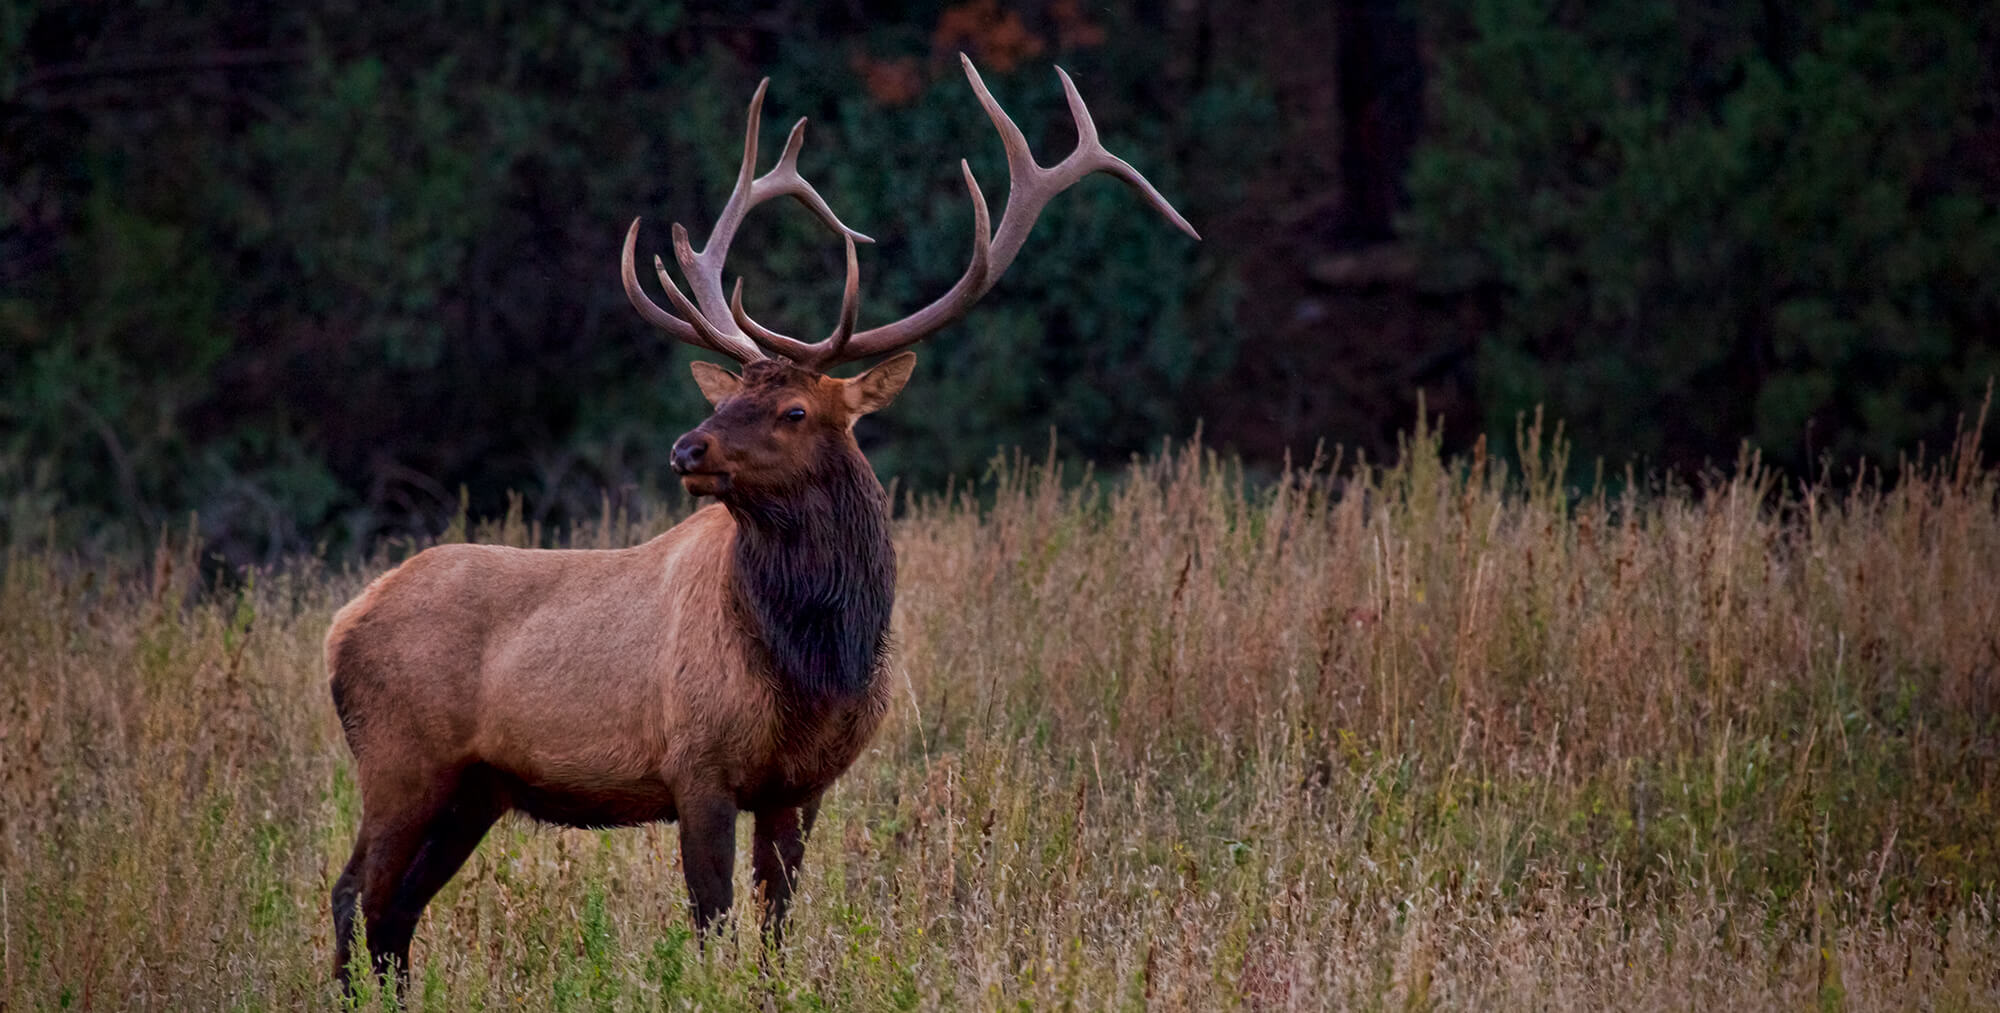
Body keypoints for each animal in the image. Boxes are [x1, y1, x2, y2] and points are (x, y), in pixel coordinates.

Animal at [322, 55, 1192, 988]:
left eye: (794, 409)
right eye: (731, 393)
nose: (685, 447)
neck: (816, 662)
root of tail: (341, 625)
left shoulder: (801, 784)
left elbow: (776, 929)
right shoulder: (697, 763)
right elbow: (712, 922)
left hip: (476, 787)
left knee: (396, 912)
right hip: (402, 757)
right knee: (355, 894)